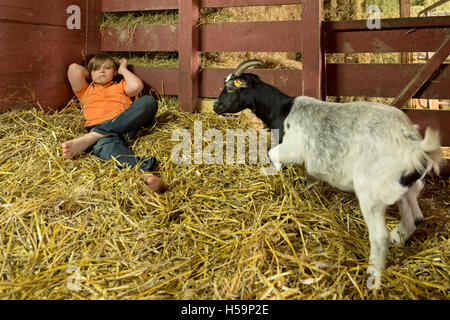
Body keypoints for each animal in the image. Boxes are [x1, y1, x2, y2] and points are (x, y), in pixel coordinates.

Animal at [213, 59, 442, 272]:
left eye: (231, 87)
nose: (215, 106)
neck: (282, 110)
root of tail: (414, 147)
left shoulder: (291, 149)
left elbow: (272, 154)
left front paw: (277, 177)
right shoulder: (311, 165)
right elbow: (310, 183)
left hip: (371, 192)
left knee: (379, 236)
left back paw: (373, 271)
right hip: (406, 187)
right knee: (415, 219)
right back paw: (398, 238)